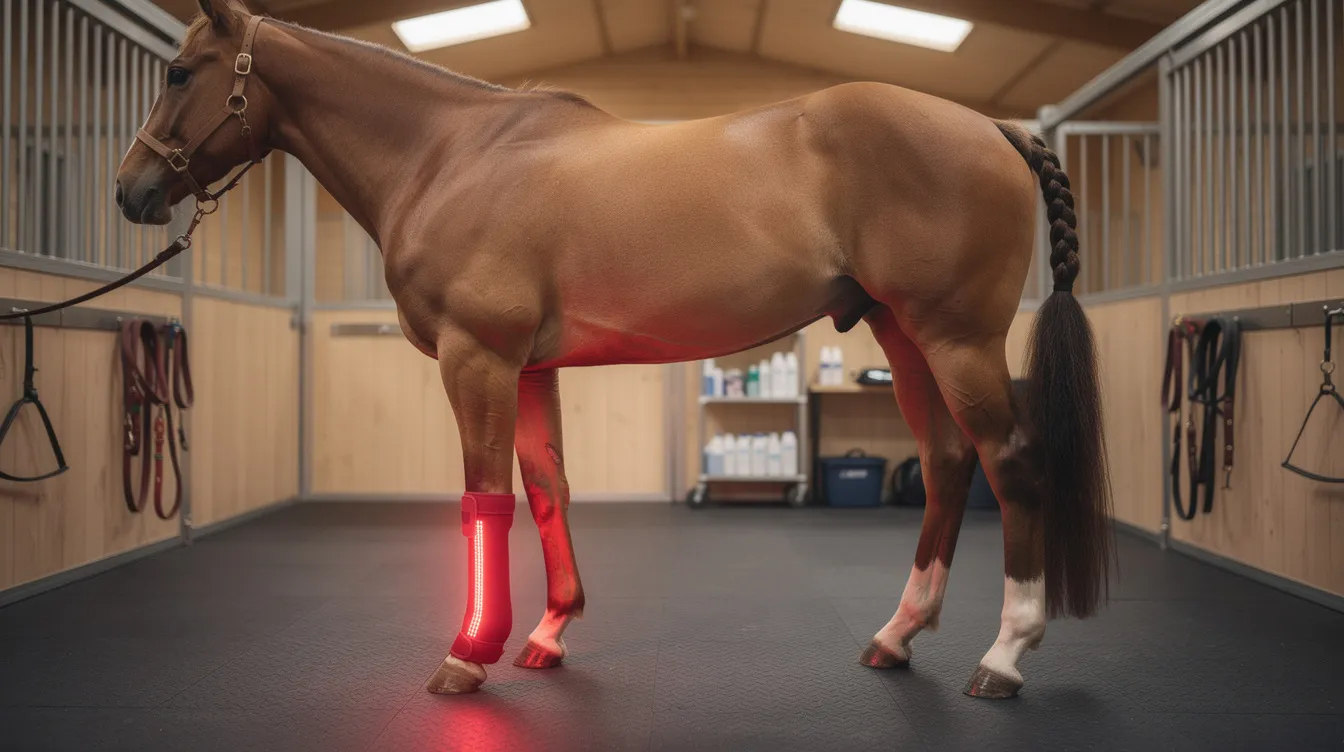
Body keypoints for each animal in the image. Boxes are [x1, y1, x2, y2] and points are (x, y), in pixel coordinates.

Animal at [115, 0, 1113, 700]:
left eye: (179, 71)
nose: (132, 190)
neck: (449, 155)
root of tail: (993, 128)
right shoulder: (528, 369)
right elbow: (547, 490)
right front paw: (547, 636)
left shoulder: (476, 359)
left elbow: (485, 498)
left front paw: (467, 656)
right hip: (904, 335)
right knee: (946, 463)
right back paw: (896, 638)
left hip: (957, 338)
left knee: (1010, 464)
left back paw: (1004, 656)